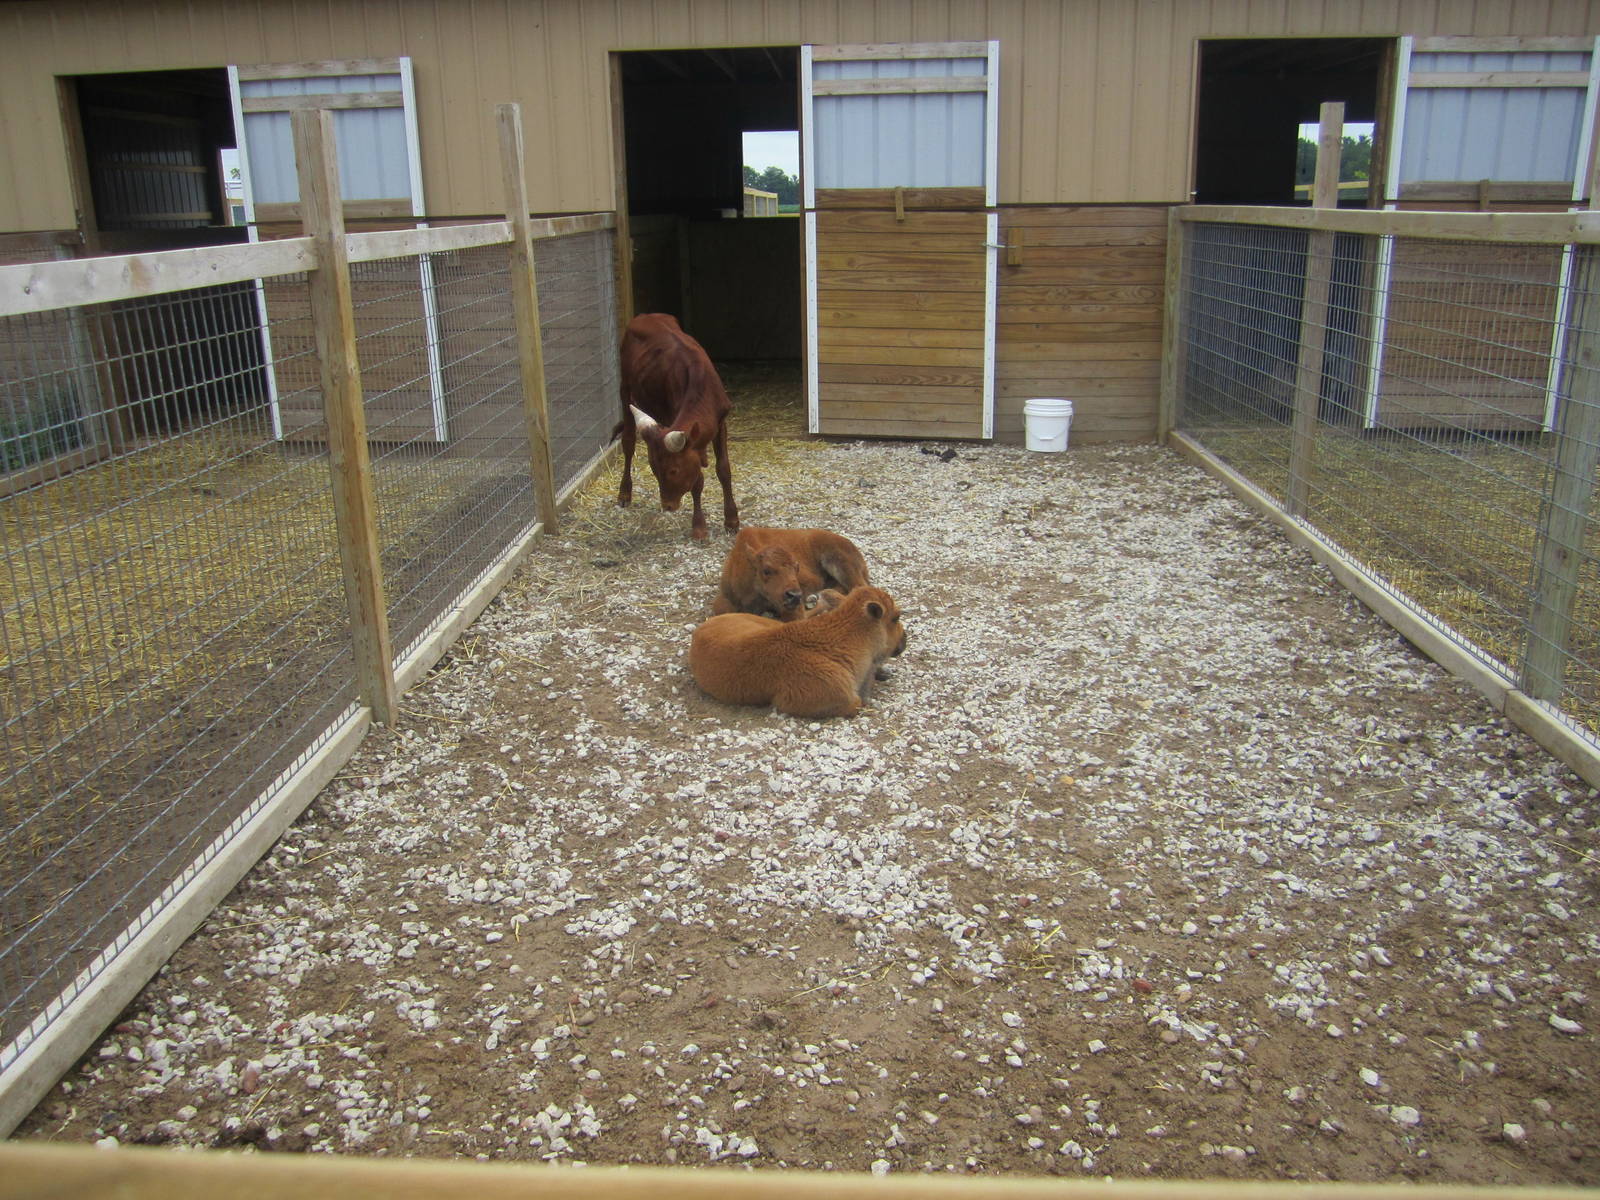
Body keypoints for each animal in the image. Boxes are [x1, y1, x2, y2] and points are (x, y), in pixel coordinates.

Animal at [613, 313, 738, 541]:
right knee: (628, 442)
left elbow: (723, 469)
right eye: (654, 470)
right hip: (625, 389)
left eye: (673, 470)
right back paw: (624, 492)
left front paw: (732, 520)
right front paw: (699, 527)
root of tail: (645, 316)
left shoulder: (720, 422)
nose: (668, 506)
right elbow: (698, 481)